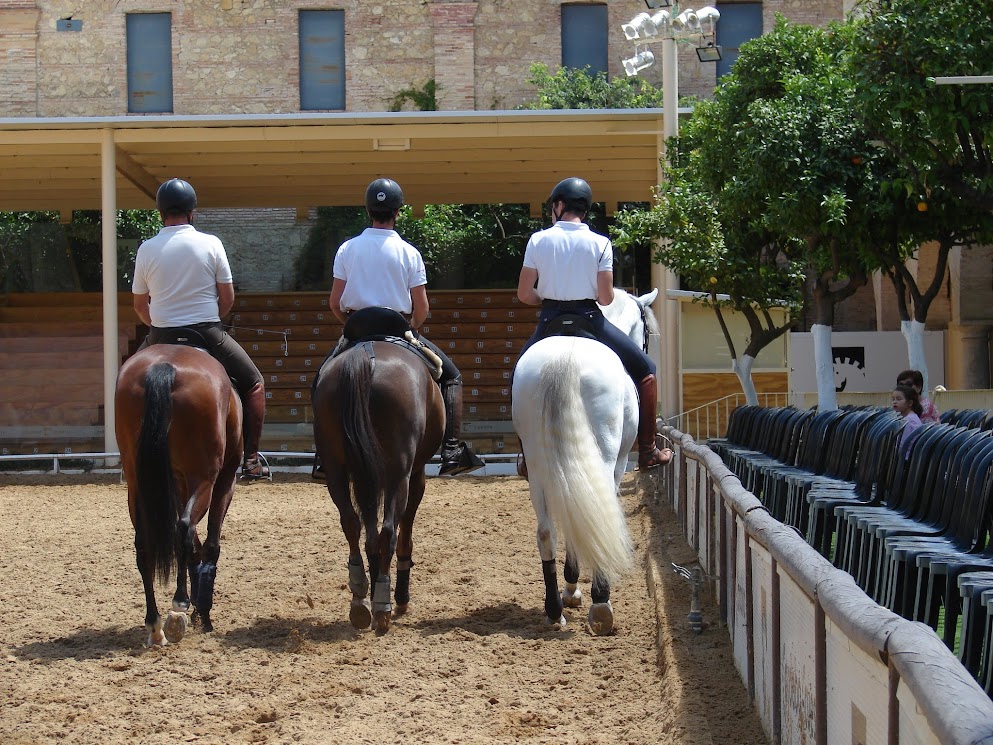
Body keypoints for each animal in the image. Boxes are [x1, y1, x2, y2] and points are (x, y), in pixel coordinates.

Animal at [113, 342, 242, 644]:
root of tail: (164, 366)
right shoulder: (224, 481)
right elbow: (210, 544)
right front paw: (202, 612)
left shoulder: (180, 486)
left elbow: (195, 546)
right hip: (204, 478)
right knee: (183, 528)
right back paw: (179, 603)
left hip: (137, 484)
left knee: (144, 543)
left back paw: (155, 624)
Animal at [312, 338, 444, 632]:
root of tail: (365, 357)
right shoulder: (415, 474)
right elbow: (404, 530)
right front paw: (399, 599)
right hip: (399, 470)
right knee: (388, 531)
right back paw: (384, 605)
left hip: (336, 468)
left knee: (352, 523)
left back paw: (360, 598)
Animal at [512, 288, 660, 632]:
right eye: (646, 331)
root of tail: (563, 361)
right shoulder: (618, 464)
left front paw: (570, 589)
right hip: (604, 456)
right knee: (599, 507)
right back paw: (601, 604)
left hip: (537, 465)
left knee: (547, 531)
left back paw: (554, 610)